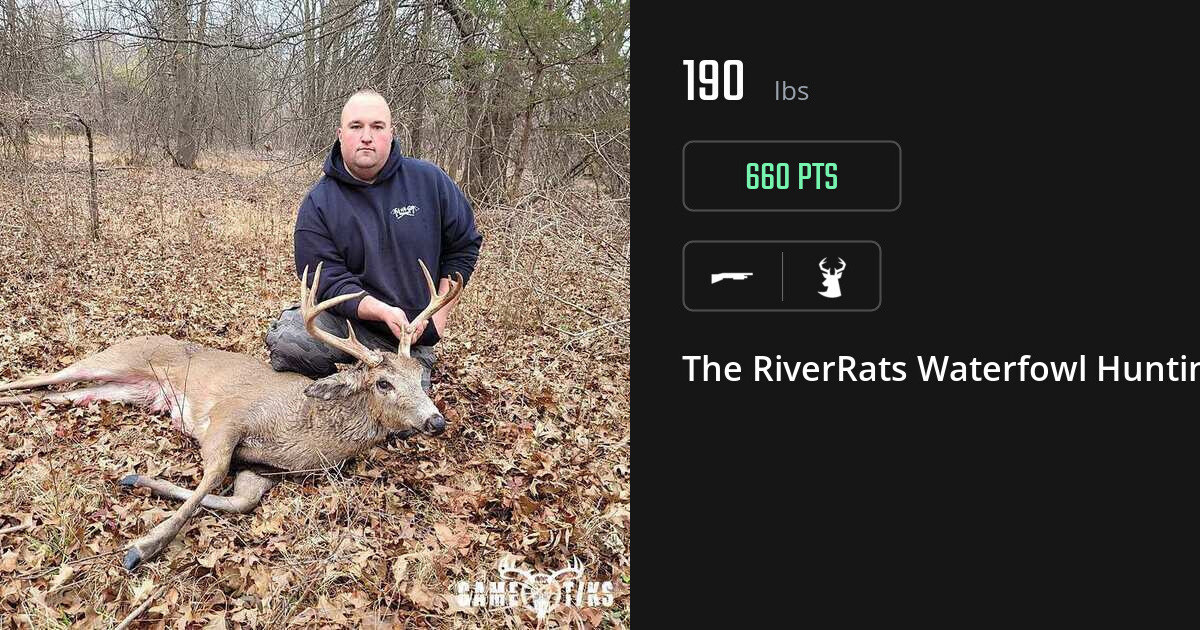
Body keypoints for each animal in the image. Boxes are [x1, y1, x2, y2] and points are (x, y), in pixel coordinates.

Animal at [0, 260, 462, 572]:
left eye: (419, 376)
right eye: (384, 383)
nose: (436, 421)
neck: (305, 430)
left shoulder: (261, 470)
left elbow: (239, 501)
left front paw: (135, 480)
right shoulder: (228, 417)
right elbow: (211, 477)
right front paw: (142, 547)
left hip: (121, 389)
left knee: (59, 395)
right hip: (115, 358)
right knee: (42, 377)